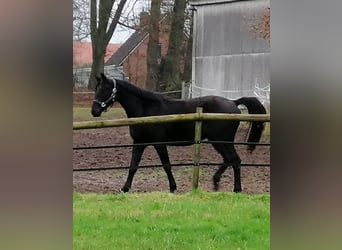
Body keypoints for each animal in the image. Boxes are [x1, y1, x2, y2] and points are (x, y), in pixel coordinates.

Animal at [91, 73, 268, 193]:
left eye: (105, 88)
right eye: (96, 88)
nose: (94, 111)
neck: (146, 109)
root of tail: (233, 102)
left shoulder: (159, 143)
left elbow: (166, 165)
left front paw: (173, 187)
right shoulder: (139, 143)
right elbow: (133, 166)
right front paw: (124, 188)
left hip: (221, 140)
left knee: (235, 160)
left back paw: (236, 189)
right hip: (218, 141)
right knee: (229, 159)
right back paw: (216, 182)